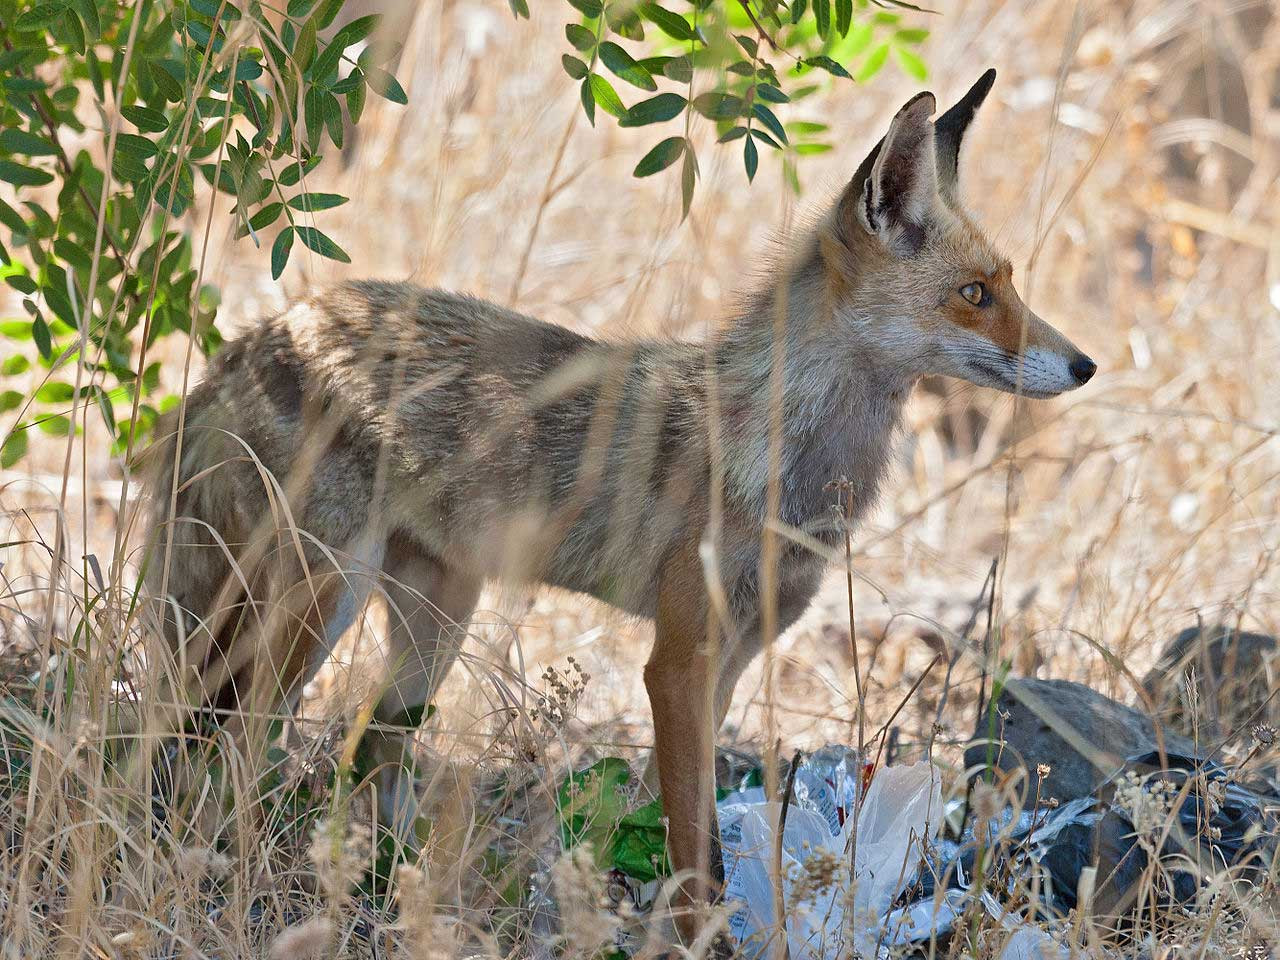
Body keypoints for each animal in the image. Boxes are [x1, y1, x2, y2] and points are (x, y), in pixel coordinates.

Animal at [142, 69, 1094, 942]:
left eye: (1010, 284)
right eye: (975, 294)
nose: (1086, 365)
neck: (784, 466)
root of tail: (264, 332)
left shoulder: (733, 661)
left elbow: (689, 835)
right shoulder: (677, 659)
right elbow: (693, 853)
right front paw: (699, 938)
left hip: (434, 623)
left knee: (360, 749)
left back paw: (396, 897)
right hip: (318, 605)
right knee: (230, 746)